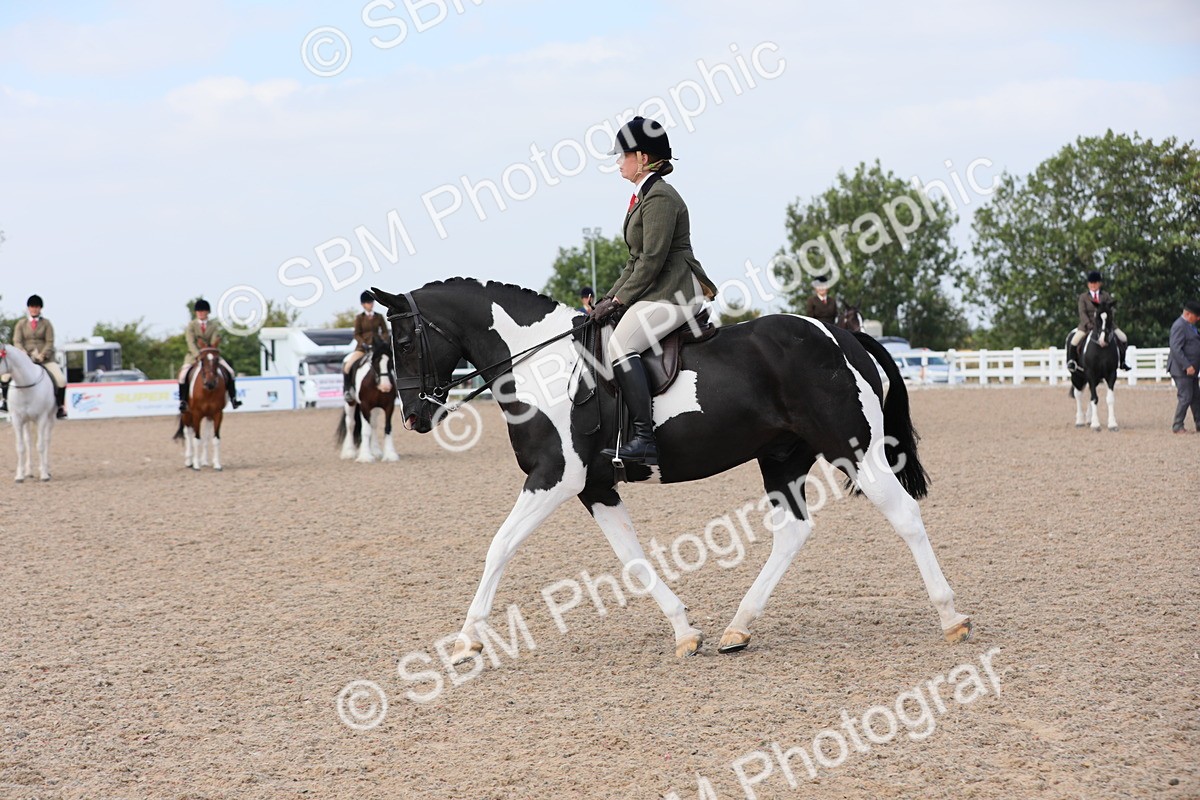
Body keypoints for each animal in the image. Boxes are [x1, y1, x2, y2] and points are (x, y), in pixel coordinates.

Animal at [0, 344, 58, 482]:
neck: (25, 386)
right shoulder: (17, 419)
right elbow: (20, 447)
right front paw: (19, 476)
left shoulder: (42, 418)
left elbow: (41, 446)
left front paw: (44, 475)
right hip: (26, 421)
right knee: (29, 442)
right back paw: (29, 472)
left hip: (50, 418)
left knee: (46, 440)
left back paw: (45, 469)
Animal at [370, 278, 972, 664]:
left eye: (404, 342)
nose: (414, 415)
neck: (539, 363)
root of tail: (841, 337)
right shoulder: (595, 487)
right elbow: (633, 561)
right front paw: (686, 631)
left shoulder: (554, 477)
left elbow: (499, 545)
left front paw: (465, 641)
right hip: (782, 458)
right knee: (794, 531)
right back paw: (738, 628)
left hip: (855, 450)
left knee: (904, 515)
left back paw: (951, 618)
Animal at [1068, 299, 1119, 431]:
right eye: (1097, 317)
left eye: (1110, 317)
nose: (1102, 340)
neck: (1101, 349)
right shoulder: (1090, 373)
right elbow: (1094, 398)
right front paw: (1096, 424)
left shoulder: (1111, 374)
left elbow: (1109, 399)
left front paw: (1112, 424)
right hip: (1076, 375)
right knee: (1078, 394)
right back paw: (1080, 421)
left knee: (1091, 392)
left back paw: (1088, 419)